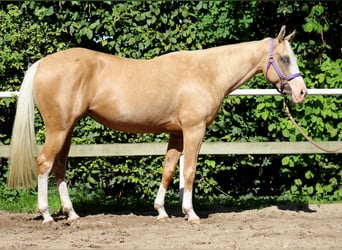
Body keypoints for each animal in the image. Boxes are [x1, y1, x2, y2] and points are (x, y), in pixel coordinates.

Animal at [7, 26, 308, 224]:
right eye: (284, 58)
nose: (301, 92)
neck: (207, 72)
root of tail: (42, 63)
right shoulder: (194, 131)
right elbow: (189, 171)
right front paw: (191, 214)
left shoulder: (176, 134)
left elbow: (168, 169)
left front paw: (161, 211)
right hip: (58, 130)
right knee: (44, 163)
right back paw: (47, 215)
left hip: (67, 130)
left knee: (59, 167)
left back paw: (71, 214)